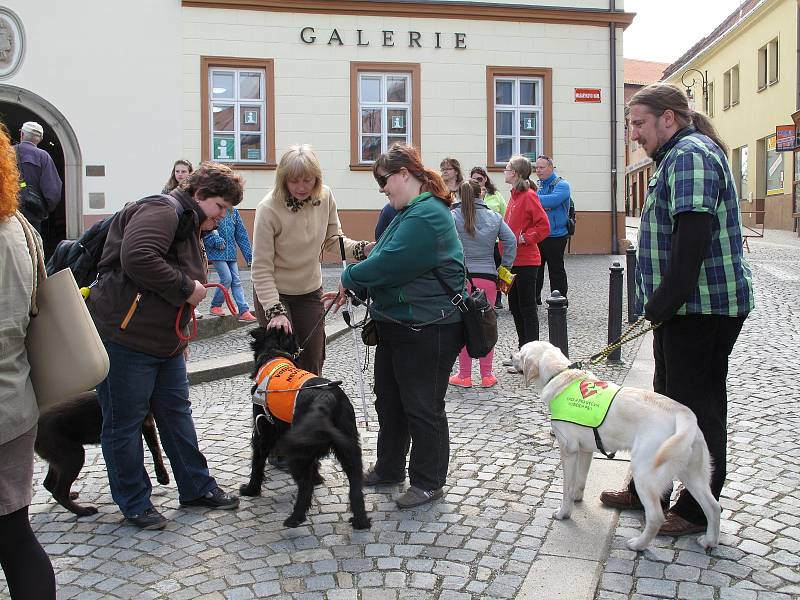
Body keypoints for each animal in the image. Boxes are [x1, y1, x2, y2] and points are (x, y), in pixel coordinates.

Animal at [34, 390, 169, 516]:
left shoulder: (147, 423)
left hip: (59, 458)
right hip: (73, 456)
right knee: (59, 492)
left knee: (48, 483)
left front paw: (161, 476)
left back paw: (71, 496)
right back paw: (83, 511)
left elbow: (155, 449)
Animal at [239, 328, 374, 528]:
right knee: (356, 486)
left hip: (296, 452)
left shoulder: (262, 433)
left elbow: (257, 463)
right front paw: (319, 478)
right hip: (349, 448)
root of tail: (326, 398)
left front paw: (250, 490)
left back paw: (295, 518)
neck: (274, 354)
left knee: (305, 485)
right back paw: (361, 521)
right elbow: (315, 465)